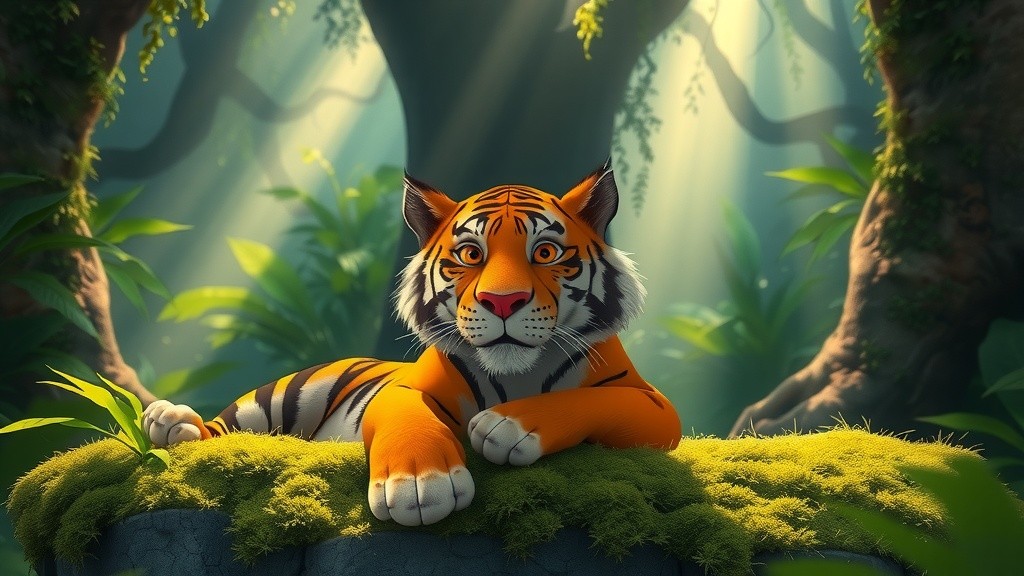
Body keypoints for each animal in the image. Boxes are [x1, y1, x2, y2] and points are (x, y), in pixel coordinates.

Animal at [143, 160, 681, 527]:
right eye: (471, 254)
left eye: (545, 252)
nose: (502, 301)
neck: (517, 376)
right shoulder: (401, 391)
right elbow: (409, 418)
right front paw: (420, 487)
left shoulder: (657, 407)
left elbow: (591, 400)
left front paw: (506, 426)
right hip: (284, 395)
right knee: (223, 426)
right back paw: (169, 421)